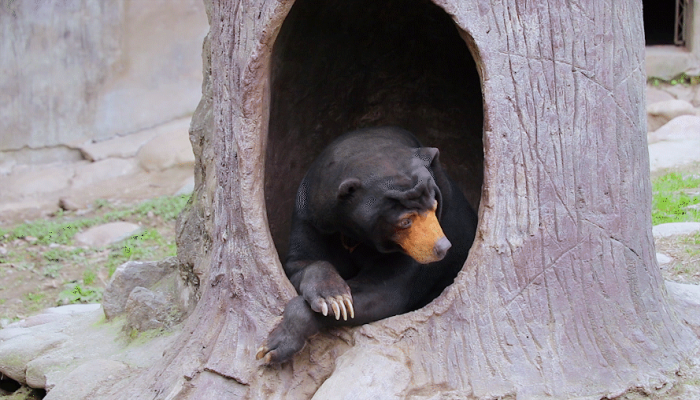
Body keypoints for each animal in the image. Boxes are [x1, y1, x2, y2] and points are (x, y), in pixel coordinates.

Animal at [254, 126, 478, 364]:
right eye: (405, 221)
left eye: (435, 205)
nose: (442, 248)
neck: (354, 232)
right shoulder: (312, 215)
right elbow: (302, 262)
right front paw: (332, 297)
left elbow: (383, 292)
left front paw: (273, 347)